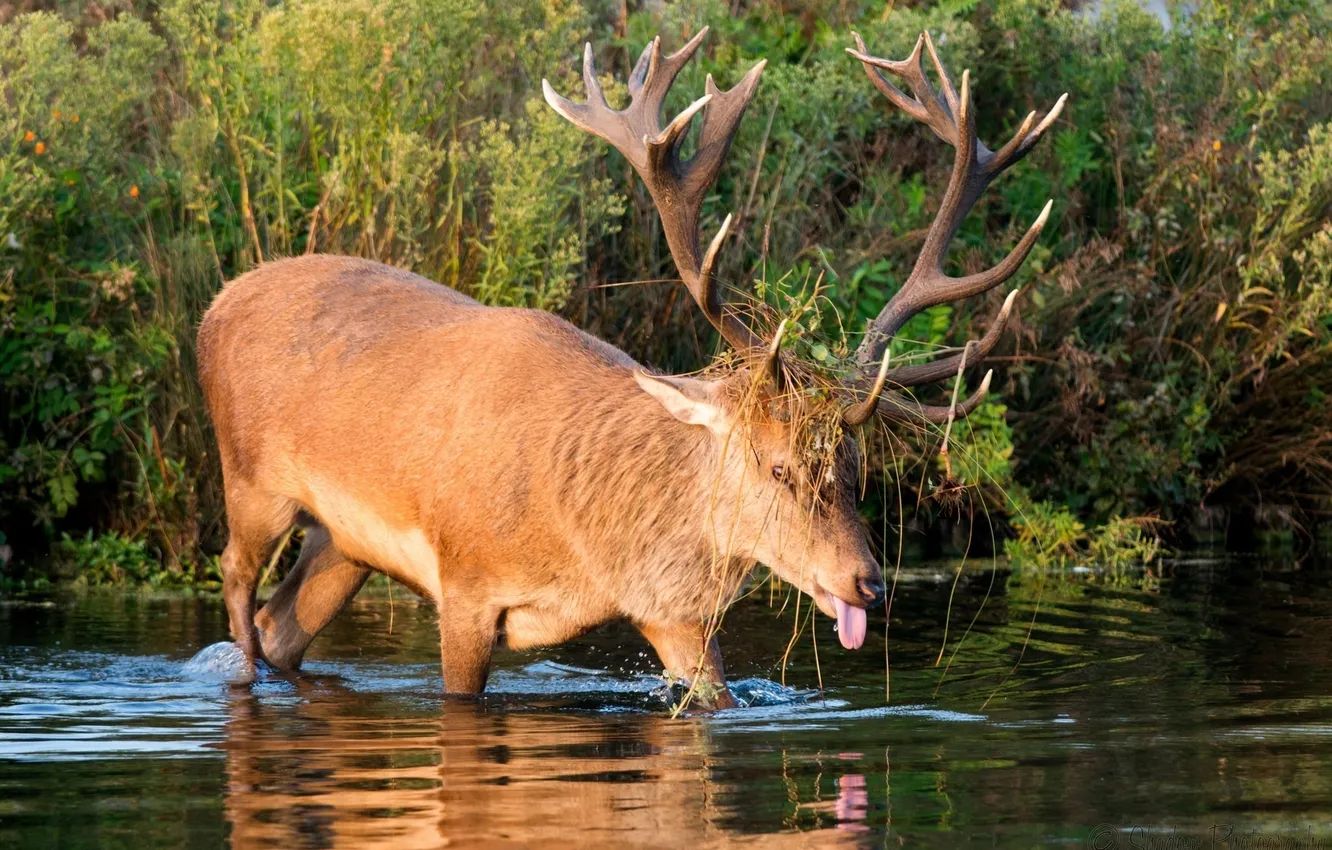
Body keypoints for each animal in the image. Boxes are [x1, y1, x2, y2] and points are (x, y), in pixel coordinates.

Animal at [197, 27, 1065, 710]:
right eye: (778, 466)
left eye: (856, 471)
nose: (867, 584)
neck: (588, 546)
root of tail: (215, 305)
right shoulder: (466, 584)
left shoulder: (675, 616)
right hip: (252, 480)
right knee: (236, 585)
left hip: (342, 542)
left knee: (282, 625)